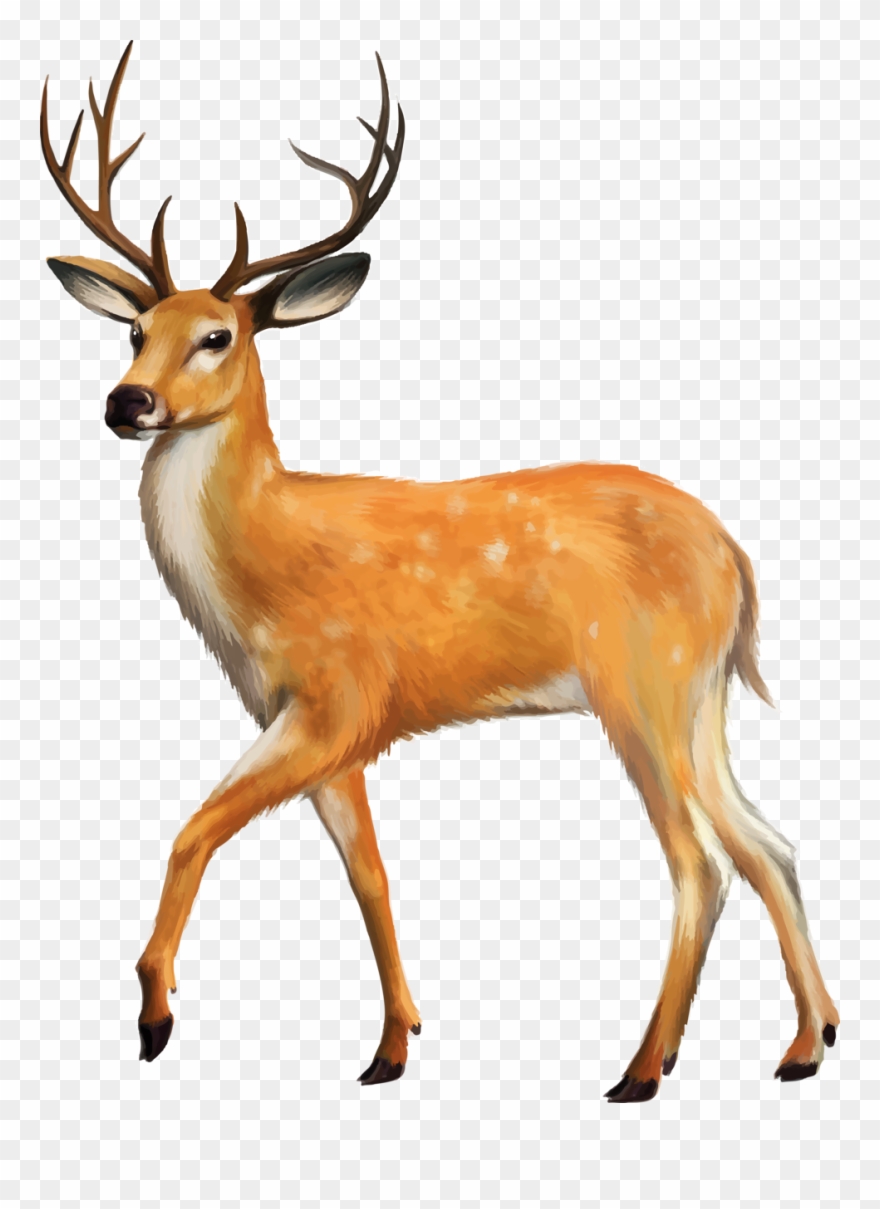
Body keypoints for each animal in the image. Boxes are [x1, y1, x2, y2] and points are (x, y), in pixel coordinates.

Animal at [40, 42, 839, 1102]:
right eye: (135, 332)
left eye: (218, 336)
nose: (126, 402)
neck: (261, 564)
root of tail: (739, 560)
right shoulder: (311, 721)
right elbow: (369, 873)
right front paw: (392, 1046)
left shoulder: (341, 696)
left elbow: (193, 828)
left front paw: (156, 1016)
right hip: (700, 695)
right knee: (769, 845)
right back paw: (806, 1045)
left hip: (641, 684)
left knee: (699, 861)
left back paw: (641, 1069)